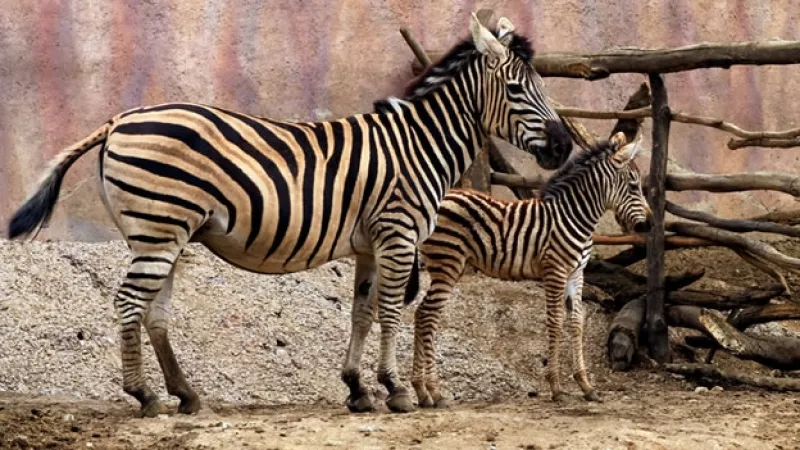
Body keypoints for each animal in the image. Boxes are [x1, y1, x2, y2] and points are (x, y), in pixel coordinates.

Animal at [7, 13, 572, 417]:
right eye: (518, 89)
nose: (564, 147)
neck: (419, 144)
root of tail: (119, 119)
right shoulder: (397, 234)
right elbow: (391, 311)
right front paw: (395, 390)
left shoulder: (370, 243)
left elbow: (362, 311)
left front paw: (357, 389)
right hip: (160, 231)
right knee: (128, 304)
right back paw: (144, 396)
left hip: (159, 234)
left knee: (154, 312)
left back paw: (184, 394)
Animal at [408, 132, 651, 407]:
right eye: (633, 186)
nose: (649, 225)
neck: (574, 217)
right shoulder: (555, 271)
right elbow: (555, 322)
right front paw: (556, 387)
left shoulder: (576, 274)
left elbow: (577, 323)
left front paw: (586, 386)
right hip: (447, 262)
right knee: (428, 315)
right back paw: (434, 392)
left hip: (446, 265)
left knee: (422, 314)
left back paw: (422, 391)